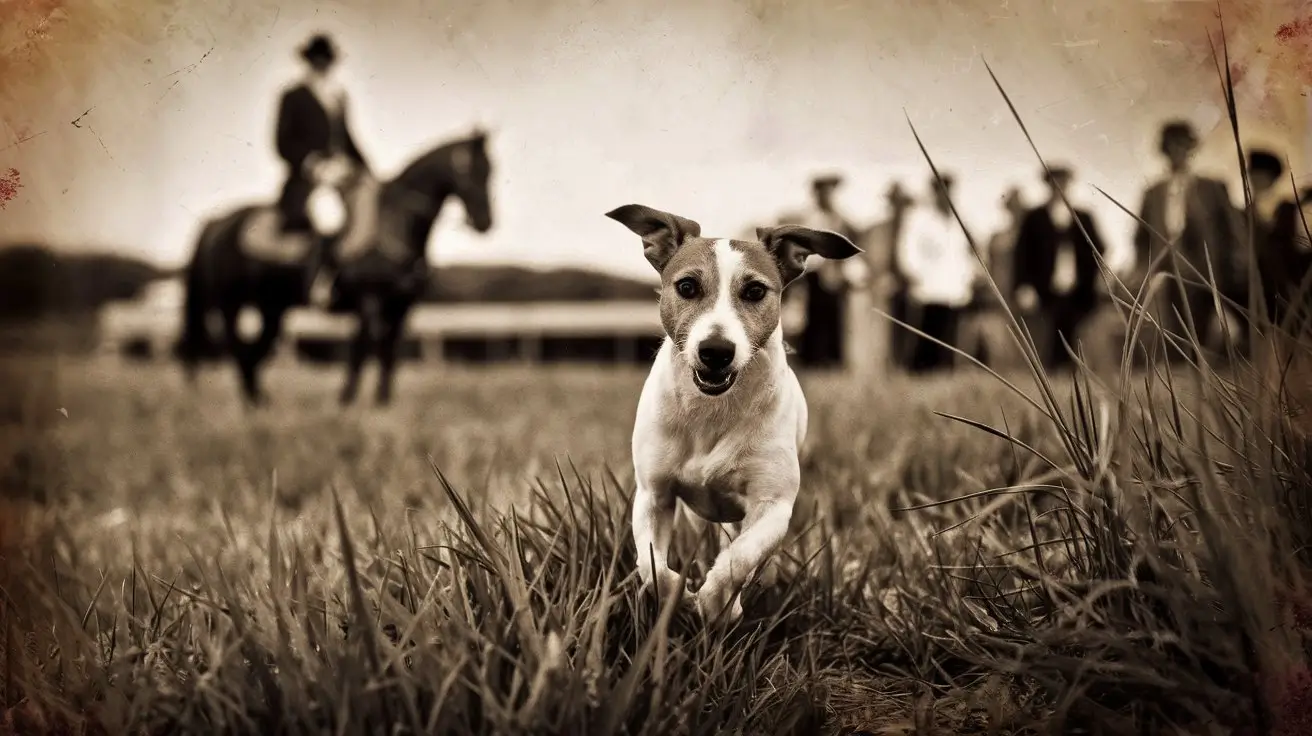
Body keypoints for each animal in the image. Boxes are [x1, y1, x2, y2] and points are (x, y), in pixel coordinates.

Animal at [177, 131, 493, 406]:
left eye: (492, 170)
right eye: (474, 170)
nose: (485, 222)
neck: (395, 225)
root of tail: (218, 223)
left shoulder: (401, 307)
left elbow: (389, 353)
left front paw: (383, 404)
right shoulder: (370, 301)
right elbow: (362, 349)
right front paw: (347, 400)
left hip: (271, 309)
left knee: (254, 350)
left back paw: (260, 401)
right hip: (231, 305)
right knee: (237, 348)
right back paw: (254, 401)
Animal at [603, 200, 860, 619]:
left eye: (755, 290)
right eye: (687, 286)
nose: (716, 351)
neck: (713, 408)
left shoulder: (773, 505)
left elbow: (740, 559)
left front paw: (718, 601)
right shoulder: (654, 495)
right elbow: (652, 566)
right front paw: (680, 597)